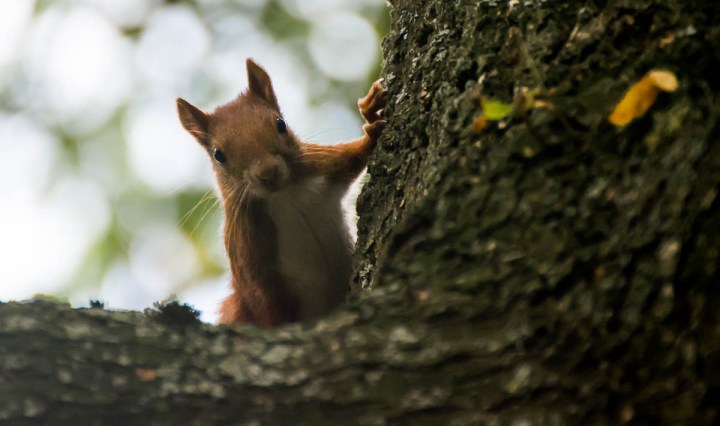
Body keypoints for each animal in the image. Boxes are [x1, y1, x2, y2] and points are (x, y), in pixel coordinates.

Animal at [176, 58, 386, 327]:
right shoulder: (248, 253)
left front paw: (371, 117)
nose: (267, 172)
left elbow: (354, 156)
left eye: (281, 124)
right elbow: (263, 301)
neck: (284, 195)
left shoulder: (323, 164)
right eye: (218, 155)